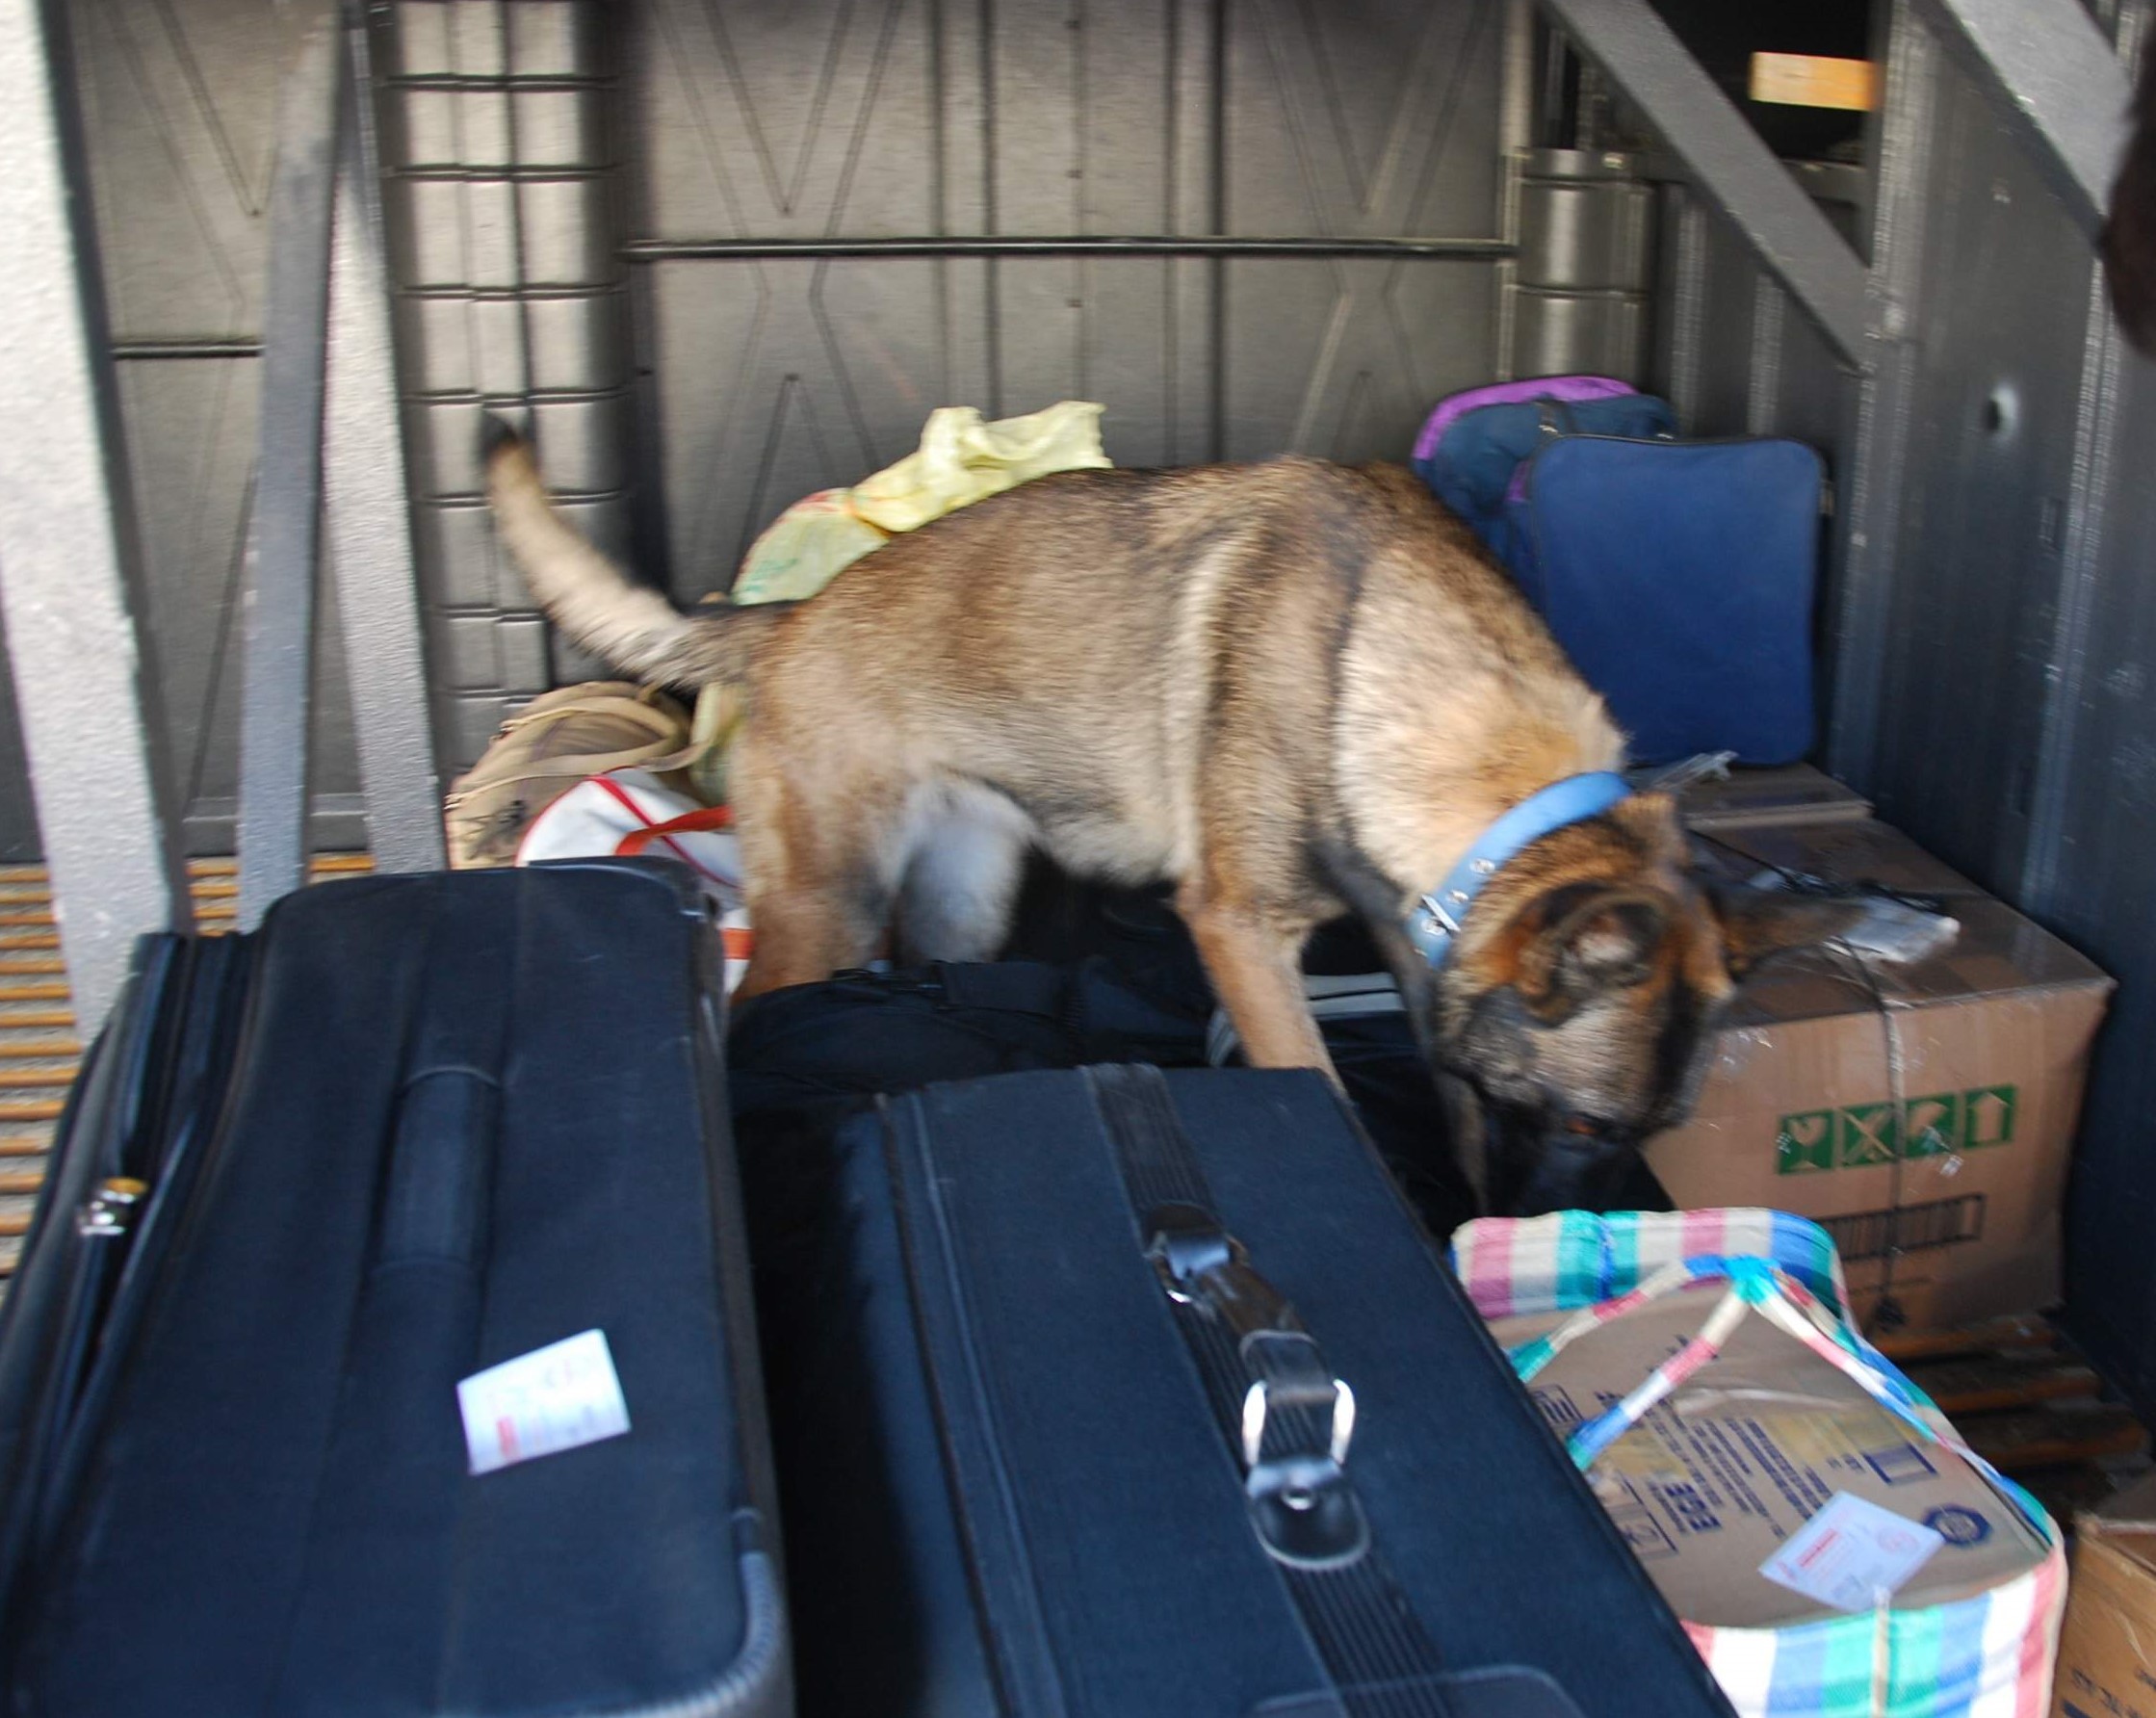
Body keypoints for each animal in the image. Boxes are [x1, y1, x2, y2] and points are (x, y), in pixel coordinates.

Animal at [493, 424, 1958, 1215]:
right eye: (1588, 1125)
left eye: (1648, 1138)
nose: (1578, 1255)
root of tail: (786, 620)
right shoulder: (1245, 936)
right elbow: (1320, 1089)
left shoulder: (1418, 946)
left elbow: (1450, 1099)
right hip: (827, 906)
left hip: (964, 900)